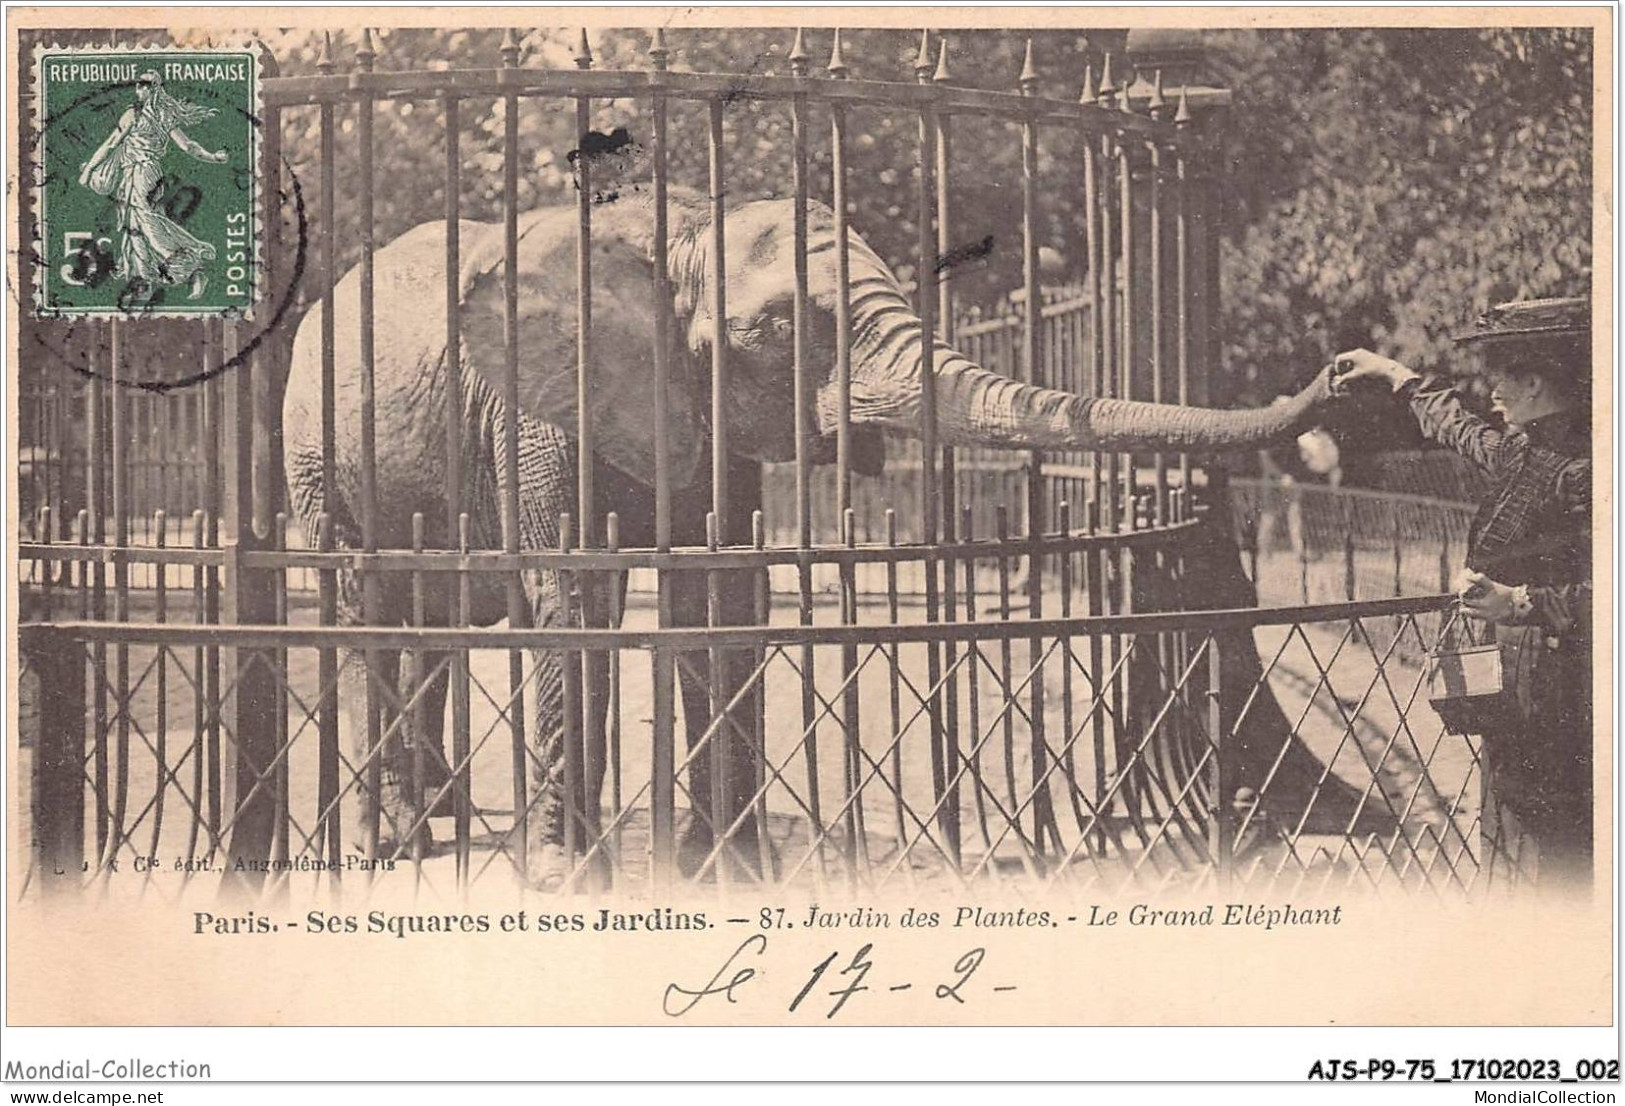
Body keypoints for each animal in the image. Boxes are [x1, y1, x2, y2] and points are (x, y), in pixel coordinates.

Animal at [286, 181, 1339, 889]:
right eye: (782, 330)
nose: (1348, 370)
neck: (675, 233)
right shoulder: (534, 411)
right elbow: (572, 598)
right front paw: (561, 880)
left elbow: (722, 595)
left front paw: (728, 868)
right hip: (313, 450)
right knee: (366, 609)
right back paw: (391, 842)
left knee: (429, 628)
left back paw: (437, 823)